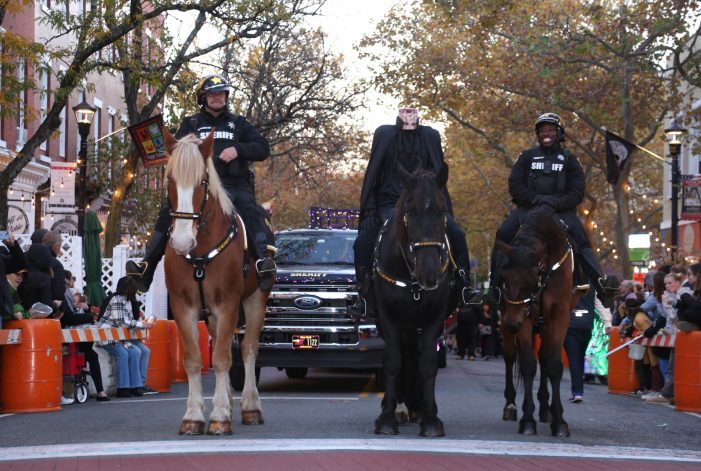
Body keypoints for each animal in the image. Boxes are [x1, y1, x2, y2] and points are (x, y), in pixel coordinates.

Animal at [163, 131, 270, 436]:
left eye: (202, 182)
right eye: (170, 180)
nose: (182, 241)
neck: (200, 251)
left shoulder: (228, 303)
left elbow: (223, 357)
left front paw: (220, 416)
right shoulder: (182, 306)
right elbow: (194, 359)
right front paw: (194, 416)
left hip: (255, 300)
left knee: (248, 349)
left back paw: (250, 407)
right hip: (210, 313)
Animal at [372, 163, 454, 438]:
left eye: (442, 210)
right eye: (409, 210)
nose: (428, 274)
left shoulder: (435, 318)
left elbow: (427, 364)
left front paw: (430, 419)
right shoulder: (387, 317)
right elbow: (392, 361)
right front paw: (387, 418)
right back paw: (401, 407)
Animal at [492, 210, 576, 438]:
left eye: (530, 281)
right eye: (504, 278)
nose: (512, 324)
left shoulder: (559, 317)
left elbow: (554, 364)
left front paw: (559, 421)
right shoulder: (525, 319)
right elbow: (528, 365)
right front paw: (528, 419)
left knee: (545, 358)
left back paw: (546, 409)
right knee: (510, 357)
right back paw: (511, 406)